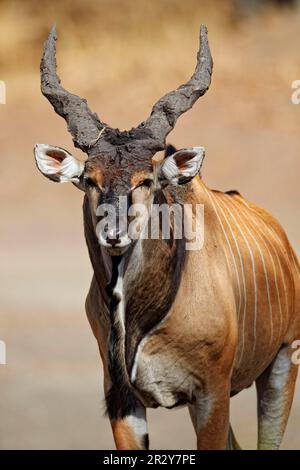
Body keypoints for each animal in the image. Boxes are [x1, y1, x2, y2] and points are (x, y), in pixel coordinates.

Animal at [34, 24, 298, 448]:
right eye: (90, 179)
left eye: (146, 180)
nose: (114, 234)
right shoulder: (123, 401)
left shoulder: (211, 395)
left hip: (282, 363)